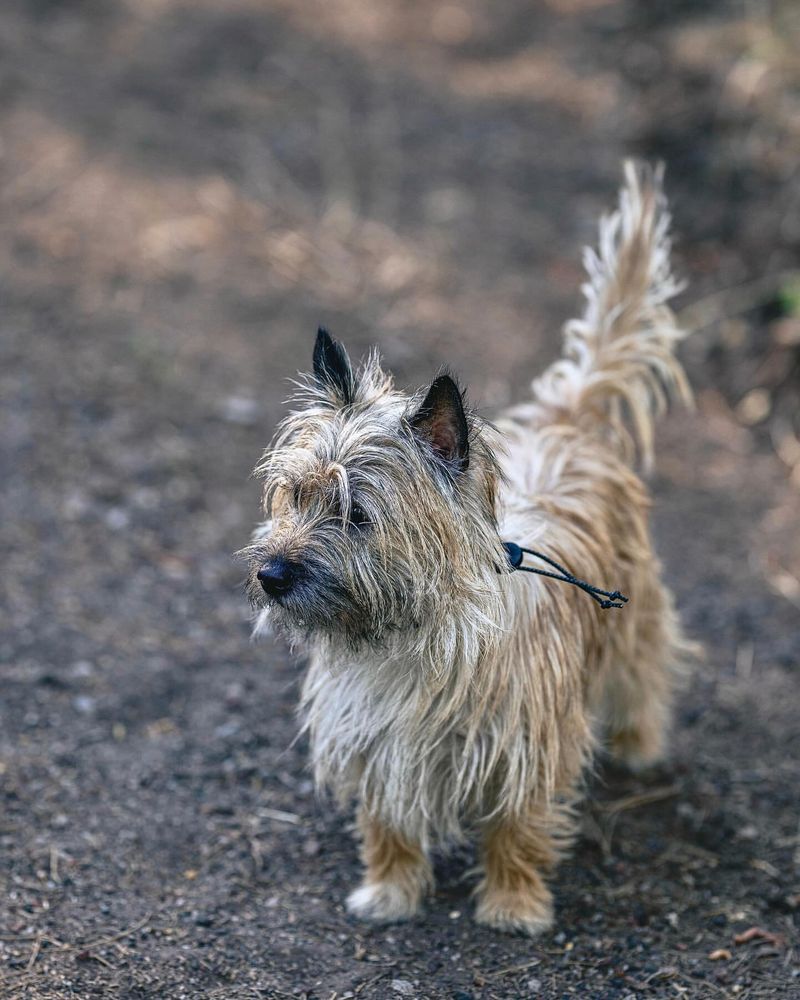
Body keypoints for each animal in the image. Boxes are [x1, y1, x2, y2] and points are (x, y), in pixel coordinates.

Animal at [242, 164, 692, 936]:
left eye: (356, 514)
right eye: (295, 495)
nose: (271, 575)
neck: (404, 641)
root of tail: (569, 419)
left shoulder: (524, 742)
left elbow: (516, 823)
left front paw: (512, 903)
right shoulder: (374, 739)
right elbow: (388, 819)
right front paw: (390, 891)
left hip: (634, 619)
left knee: (645, 673)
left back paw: (640, 747)